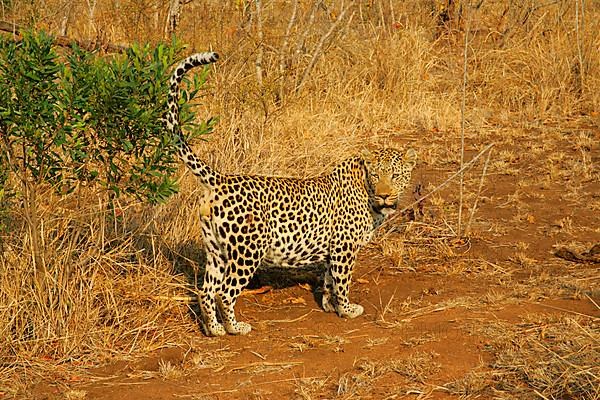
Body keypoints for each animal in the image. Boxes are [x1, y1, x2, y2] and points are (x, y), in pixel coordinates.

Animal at [164, 51, 418, 336]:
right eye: (376, 176)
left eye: (395, 176)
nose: (385, 195)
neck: (366, 191)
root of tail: (221, 179)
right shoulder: (344, 247)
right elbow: (342, 281)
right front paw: (347, 309)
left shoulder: (332, 249)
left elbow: (329, 279)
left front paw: (329, 306)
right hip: (247, 251)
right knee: (225, 292)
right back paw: (235, 327)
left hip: (217, 249)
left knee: (206, 290)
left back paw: (213, 329)